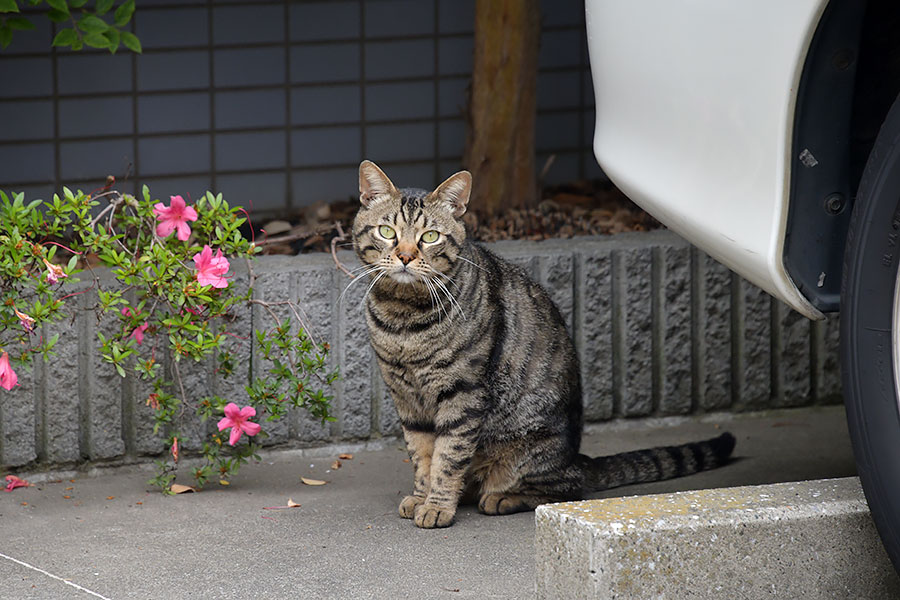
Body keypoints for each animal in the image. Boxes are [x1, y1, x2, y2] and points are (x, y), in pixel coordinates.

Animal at [348, 161, 736, 528]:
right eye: (387, 232)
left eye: (429, 236)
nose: (406, 256)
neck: (403, 318)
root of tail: (576, 457)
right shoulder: (406, 398)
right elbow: (422, 455)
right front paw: (421, 497)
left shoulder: (463, 394)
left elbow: (448, 456)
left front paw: (438, 506)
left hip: (530, 452)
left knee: (566, 489)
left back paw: (501, 497)